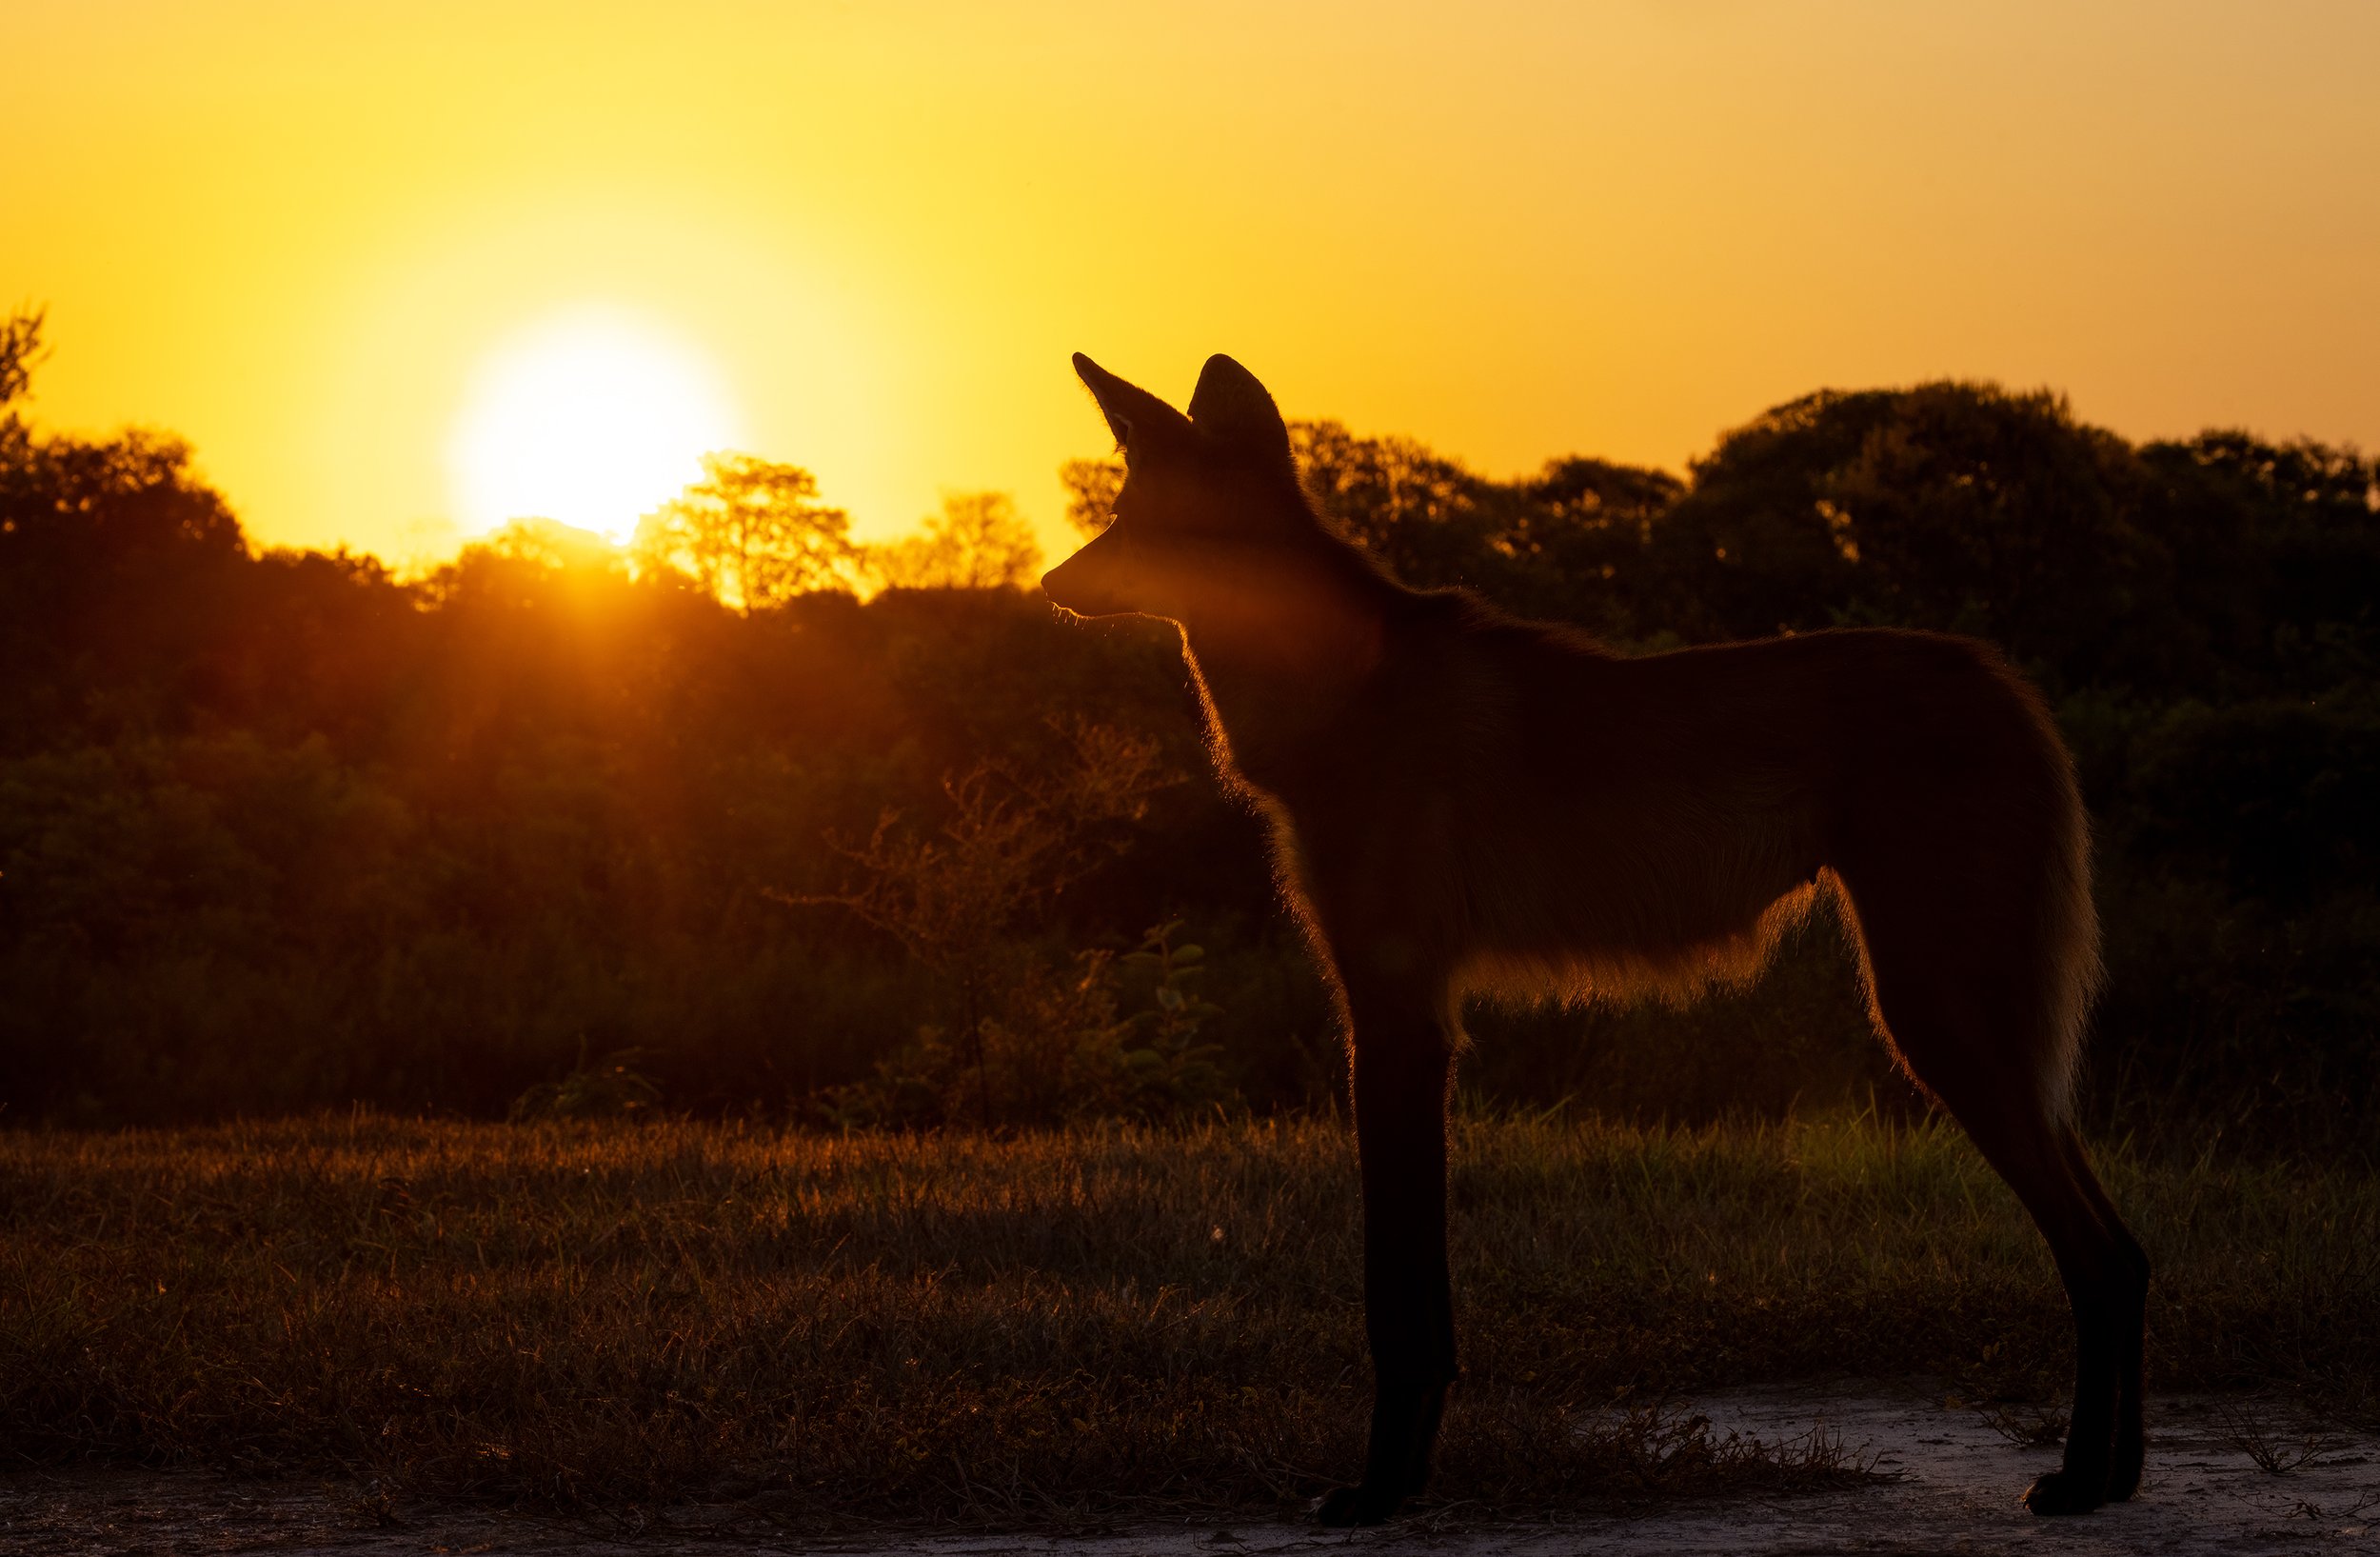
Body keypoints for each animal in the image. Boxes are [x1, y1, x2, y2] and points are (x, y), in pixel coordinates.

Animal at [1041, 353, 2149, 1525]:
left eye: (1137, 520)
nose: (1049, 581)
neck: (1332, 688)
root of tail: (1999, 677)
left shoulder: (1396, 1019)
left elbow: (1400, 1306)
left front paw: (1381, 1492)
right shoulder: (1410, 1019)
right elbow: (1419, 1298)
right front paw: (1406, 1482)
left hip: (1934, 1016)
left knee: (2098, 1255)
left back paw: (2082, 1481)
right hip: (1979, 1025)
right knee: (2126, 1254)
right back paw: (2116, 1474)